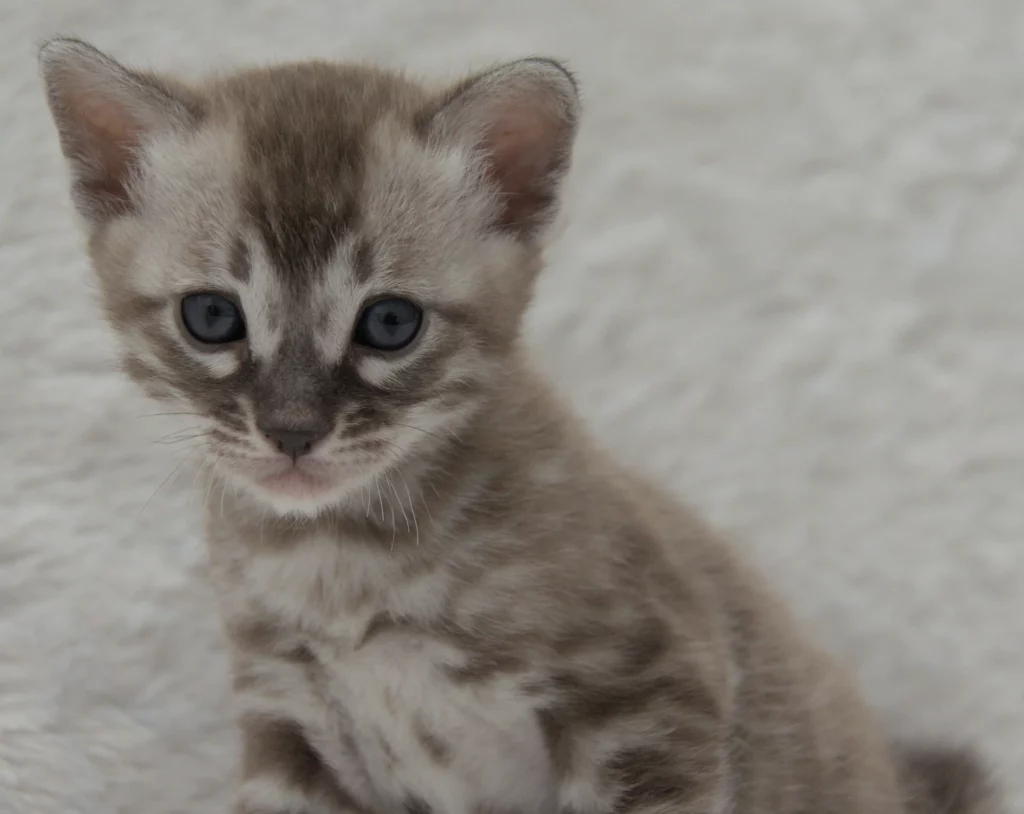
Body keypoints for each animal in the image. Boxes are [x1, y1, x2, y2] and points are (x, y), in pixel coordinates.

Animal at [40, 37, 1000, 814]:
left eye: (389, 323)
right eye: (212, 317)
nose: (293, 431)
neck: (340, 563)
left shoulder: (649, 691)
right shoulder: (290, 720)